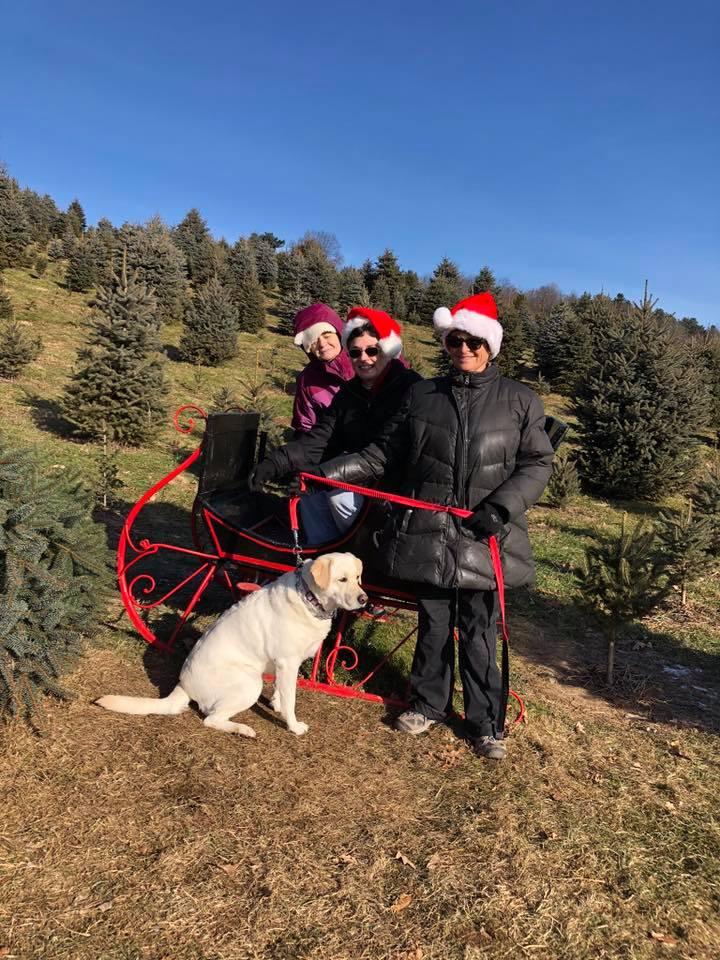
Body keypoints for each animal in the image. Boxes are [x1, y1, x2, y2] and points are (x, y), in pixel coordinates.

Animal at [97, 552, 367, 737]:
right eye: (342, 579)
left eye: (357, 578)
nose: (364, 599)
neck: (309, 598)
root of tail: (183, 684)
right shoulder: (288, 662)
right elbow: (291, 701)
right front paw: (293, 726)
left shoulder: (284, 666)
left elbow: (280, 691)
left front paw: (276, 704)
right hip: (250, 683)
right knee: (210, 720)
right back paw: (242, 729)